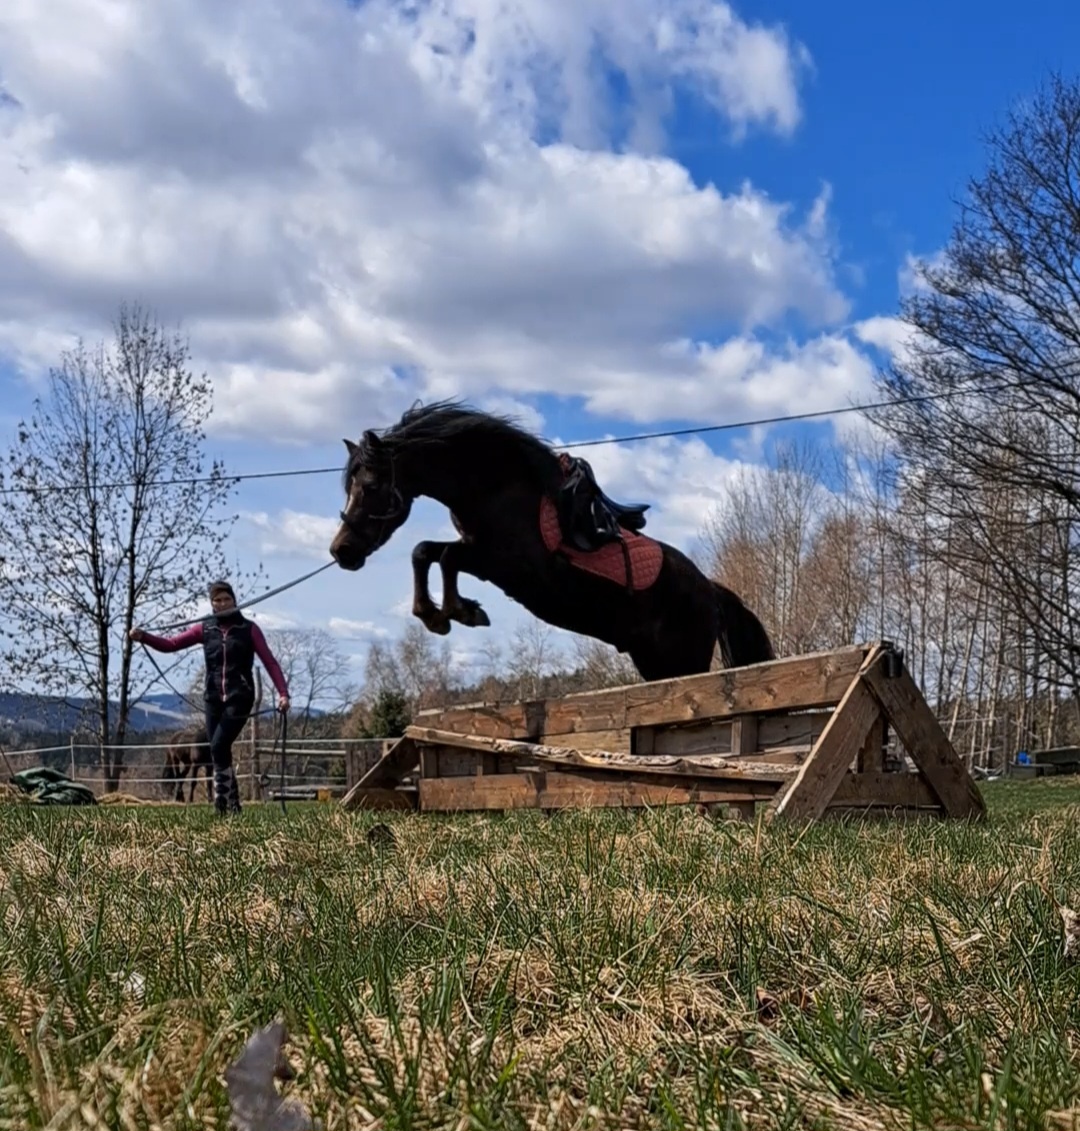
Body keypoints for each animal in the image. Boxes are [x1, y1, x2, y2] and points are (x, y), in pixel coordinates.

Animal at [328, 401, 775, 682]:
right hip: (653, 660)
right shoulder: (481, 551)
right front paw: (435, 615)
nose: (341, 551)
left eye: (370, 487)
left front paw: (459, 612)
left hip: (682, 657)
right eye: (348, 488)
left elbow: (448, 557)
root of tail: (711, 591)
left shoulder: (507, 565)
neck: (495, 487)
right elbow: (424, 551)